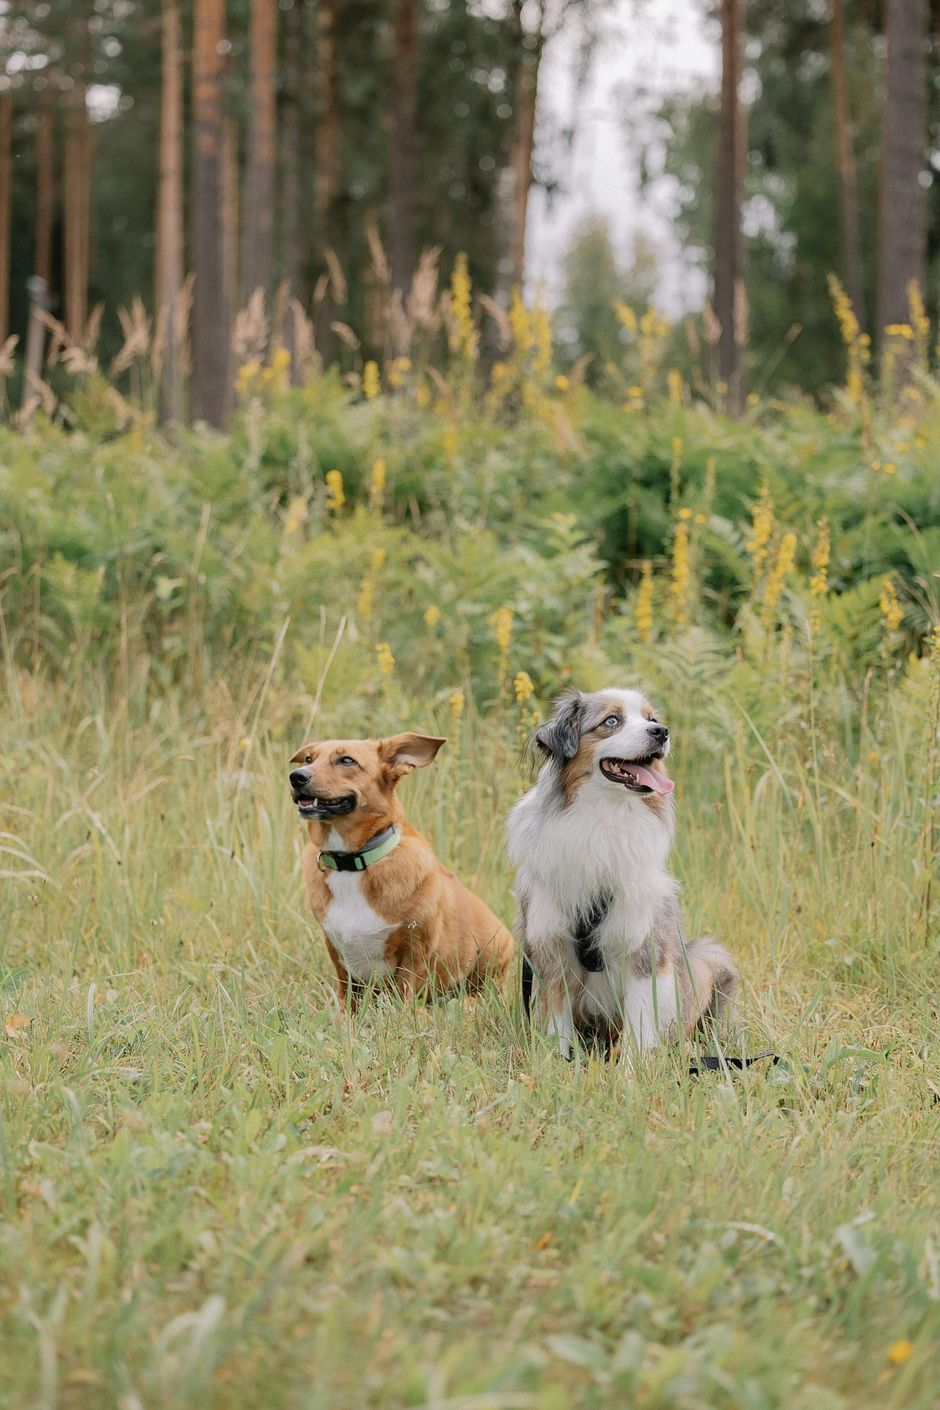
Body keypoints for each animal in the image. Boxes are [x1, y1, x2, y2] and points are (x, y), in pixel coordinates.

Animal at [290, 738, 515, 1003]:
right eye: (309, 759)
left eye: (346, 760)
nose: (296, 776)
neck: (353, 864)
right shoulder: (340, 958)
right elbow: (348, 1001)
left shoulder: (414, 952)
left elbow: (405, 996)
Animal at [507, 682, 732, 1060]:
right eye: (611, 721)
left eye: (651, 719)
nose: (662, 732)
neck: (605, 817)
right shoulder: (551, 943)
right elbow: (558, 1023)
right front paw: (559, 1063)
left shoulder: (643, 944)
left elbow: (640, 1028)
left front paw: (632, 1070)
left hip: (704, 960)